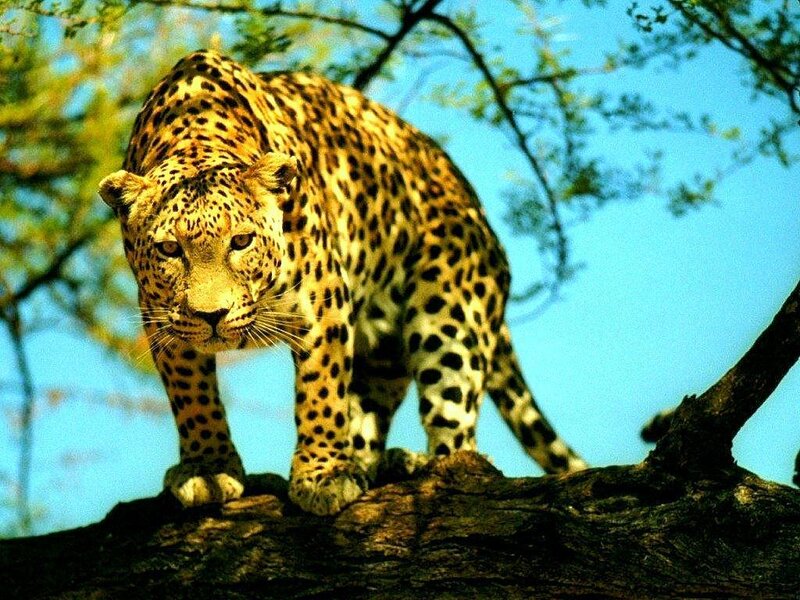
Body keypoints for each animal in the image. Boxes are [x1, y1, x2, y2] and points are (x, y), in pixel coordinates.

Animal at [98, 49, 587, 516]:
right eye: (169, 249)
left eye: (240, 241)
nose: (212, 315)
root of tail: (480, 214)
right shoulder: (162, 317)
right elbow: (192, 398)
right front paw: (209, 468)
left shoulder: (324, 303)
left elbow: (323, 389)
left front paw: (323, 475)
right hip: (386, 350)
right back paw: (375, 463)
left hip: (450, 314)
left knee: (460, 436)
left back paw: (423, 465)